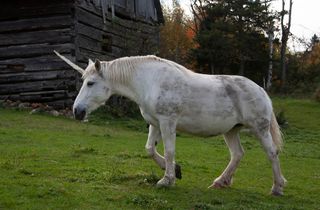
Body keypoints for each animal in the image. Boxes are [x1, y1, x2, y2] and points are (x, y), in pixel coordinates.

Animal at [53, 50, 286, 195]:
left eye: (91, 83)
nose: (77, 111)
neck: (150, 81)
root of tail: (261, 89)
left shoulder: (167, 122)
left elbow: (169, 150)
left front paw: (167, 180)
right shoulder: (154, 123)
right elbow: (149, 149)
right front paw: (176, 171)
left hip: (260, 129)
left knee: (272, 153)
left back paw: (277, 188)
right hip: (231, 131)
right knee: (237, 154)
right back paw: (221, 182)